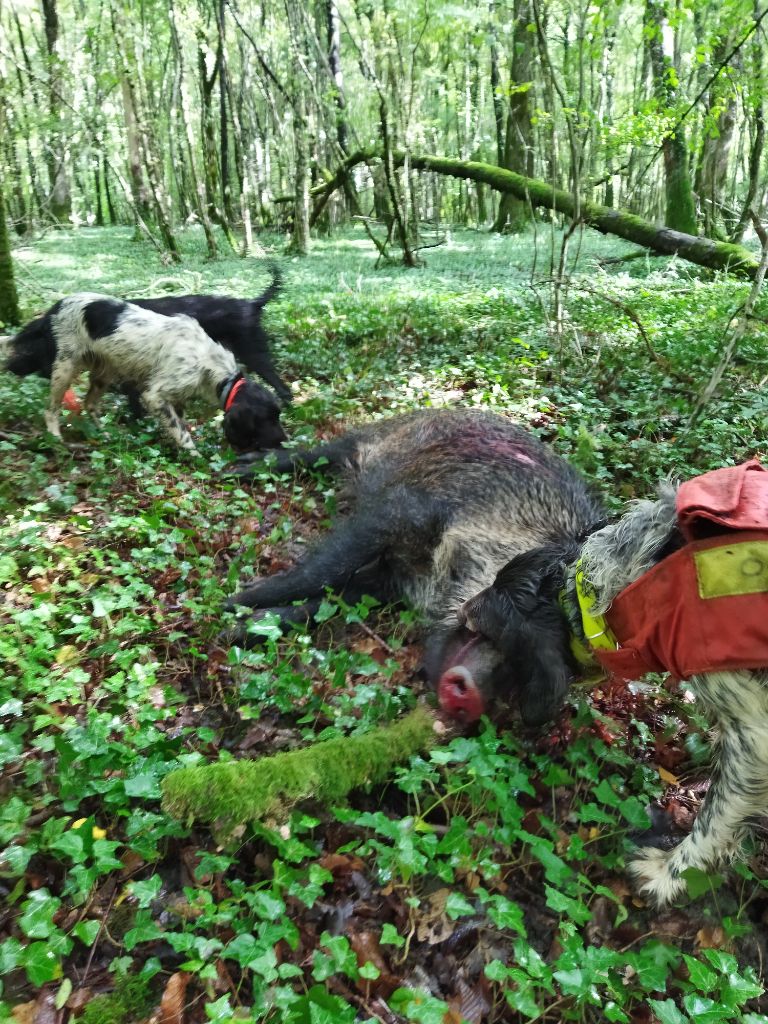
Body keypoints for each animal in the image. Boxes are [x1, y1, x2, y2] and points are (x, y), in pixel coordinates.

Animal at [5, 296, 288, 456]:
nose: (285, 441)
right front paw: (194, 455)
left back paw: (104, 434)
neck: (208, 362)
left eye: (277, 416)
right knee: (51, 409)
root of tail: (55, 307)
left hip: (105, 371)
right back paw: (56, 439)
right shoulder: (154, 396)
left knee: (90, 403)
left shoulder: (177, 396)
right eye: (267, 419)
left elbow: (179, 423)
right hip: (65, 366)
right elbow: (181, 431)